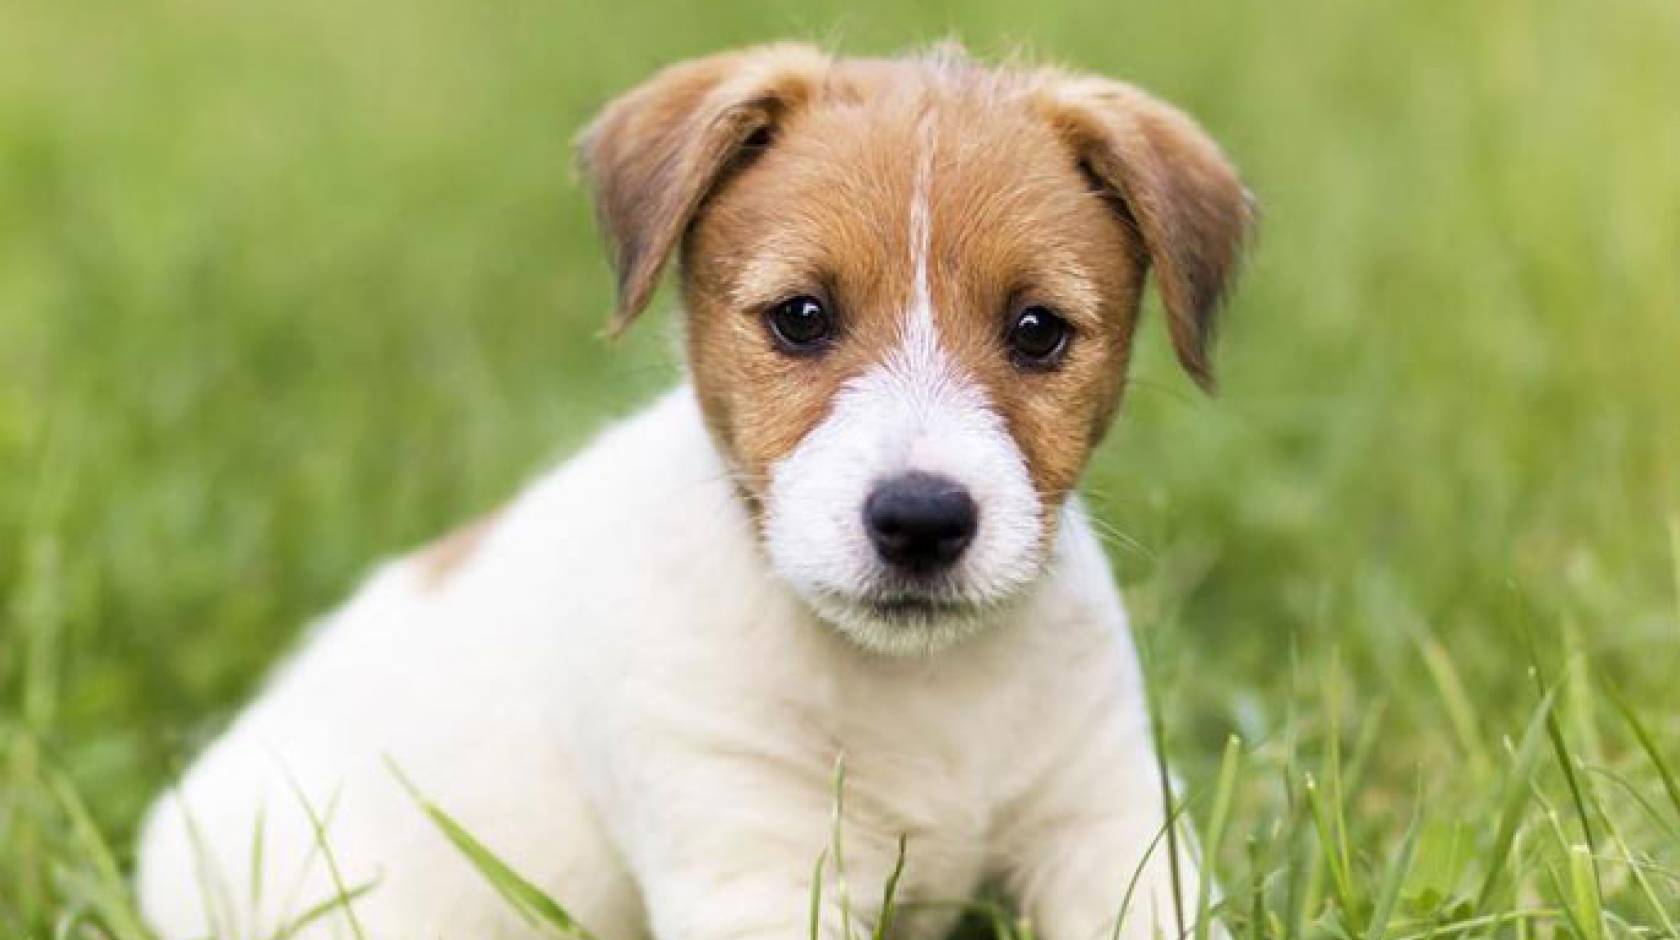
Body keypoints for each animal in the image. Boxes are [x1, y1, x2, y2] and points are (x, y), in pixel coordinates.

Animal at [137, 44, 1256, 940]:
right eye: (801, 316)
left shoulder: (1111, 827)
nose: (921, 519)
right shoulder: (753, 858)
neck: (923, 692)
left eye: (1037, 331)